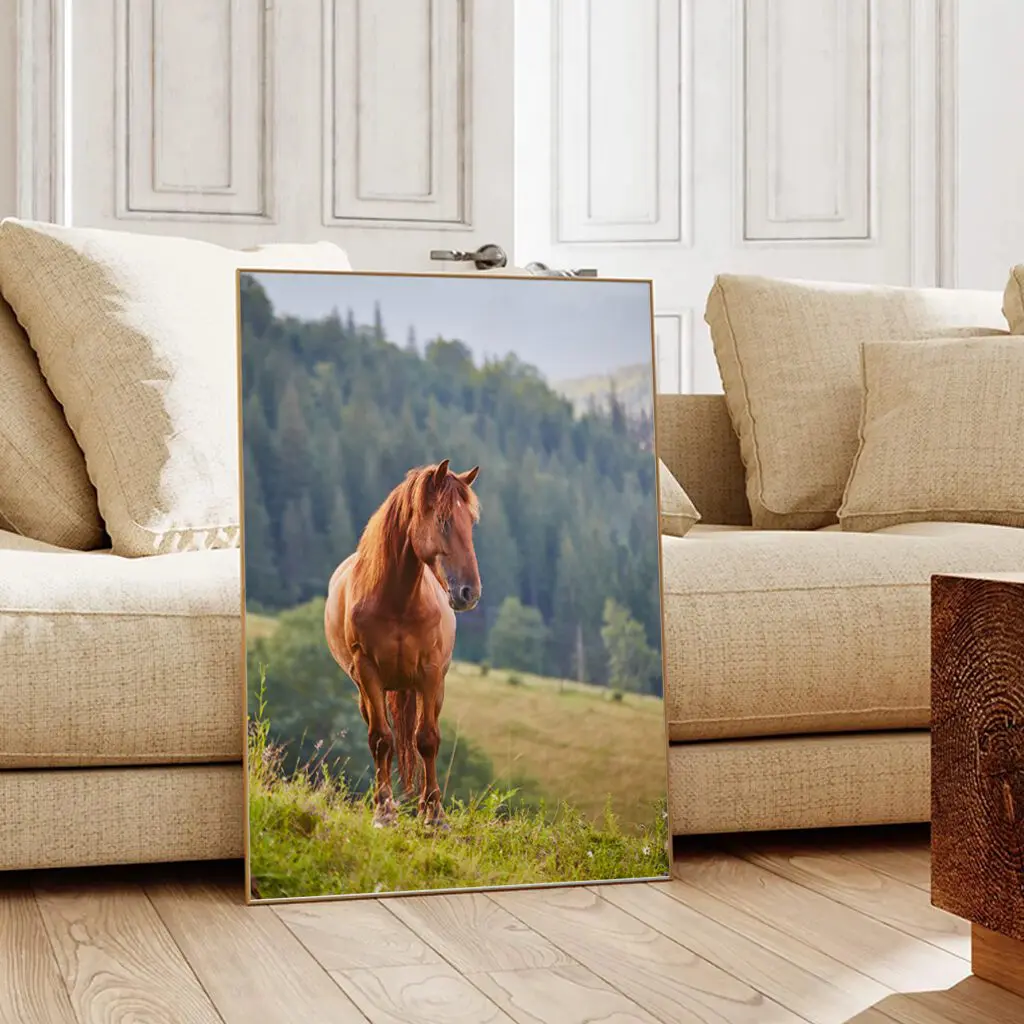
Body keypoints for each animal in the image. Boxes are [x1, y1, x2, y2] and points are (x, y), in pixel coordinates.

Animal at [324, 459, 482, 828]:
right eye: (443, 520)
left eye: (471, 522)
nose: (469, 592)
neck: (396, 601)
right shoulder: (368, 673)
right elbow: (382, 740)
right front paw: (384, 811)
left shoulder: (430, 672)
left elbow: (427, 740)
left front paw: (435, 814)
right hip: (368, 692)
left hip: (431, 689)